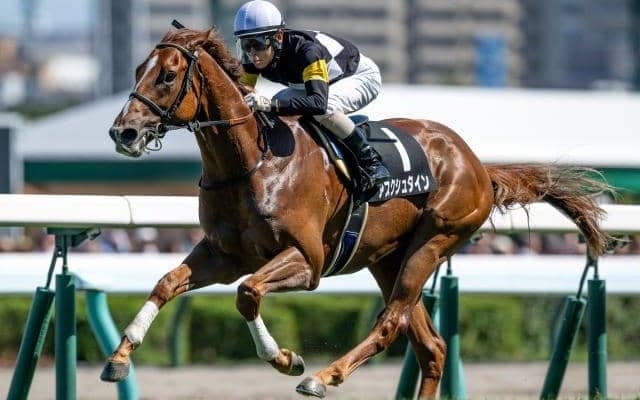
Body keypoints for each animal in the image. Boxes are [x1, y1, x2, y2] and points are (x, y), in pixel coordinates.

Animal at [103, 26, 611, 398]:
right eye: (139, 69)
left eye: (167, 76)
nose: (123, 133)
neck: (253, 161)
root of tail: (476, 165)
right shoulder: (223, 255)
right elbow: (167, 283)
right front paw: (119, 358)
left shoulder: (306, 261)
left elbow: (247, 294)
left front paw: (287, 360)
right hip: (388, 259)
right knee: (431, 346)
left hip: (434, 240)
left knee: (391, 324)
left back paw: (322, 376)